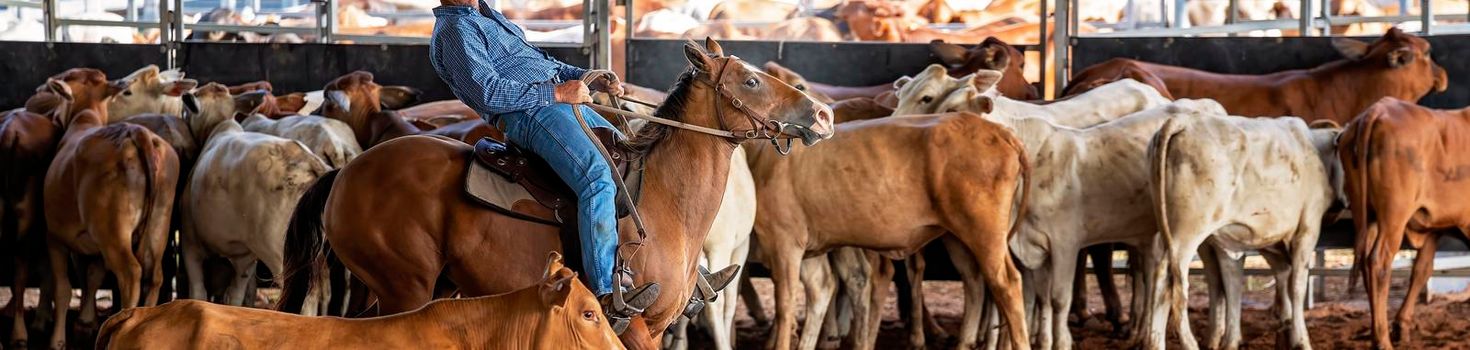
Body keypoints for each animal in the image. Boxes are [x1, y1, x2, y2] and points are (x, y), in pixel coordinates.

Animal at [41, 66, 180, 348]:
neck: (86, 117)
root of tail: (138, 133)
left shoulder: (55, 237)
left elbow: (63, 289)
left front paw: (57, 340)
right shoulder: (93, 247)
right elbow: (93, 277)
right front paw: (85, 322)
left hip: (113, 229)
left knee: (130, 273)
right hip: (159, 221)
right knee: (155, 275)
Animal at [177, 83, 330, 307]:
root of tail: (309, 160)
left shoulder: (190, 242)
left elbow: (198, 292)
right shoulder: (245, 258)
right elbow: (235, 296)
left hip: (280, 249)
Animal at [1140, 115, 1346, 350]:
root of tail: (1182, 121)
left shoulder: (1231, 244)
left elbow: (1234, 285)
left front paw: (1234, 340)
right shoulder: (1307, 229)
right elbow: (1297, 285)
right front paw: (1301, 340)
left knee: (1160, 281)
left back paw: (1155, 343)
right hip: (1186, 235)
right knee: (1173, 283)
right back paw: (1189, 342)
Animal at [1340, 96, 1470, 350]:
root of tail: (1377, 111)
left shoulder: (1432, 230)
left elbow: (1422, 270)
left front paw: (1402, 325)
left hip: (1366, 215)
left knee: (1365, 262)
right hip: (1394, 216)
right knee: (1378, 262)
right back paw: (1382, 340)